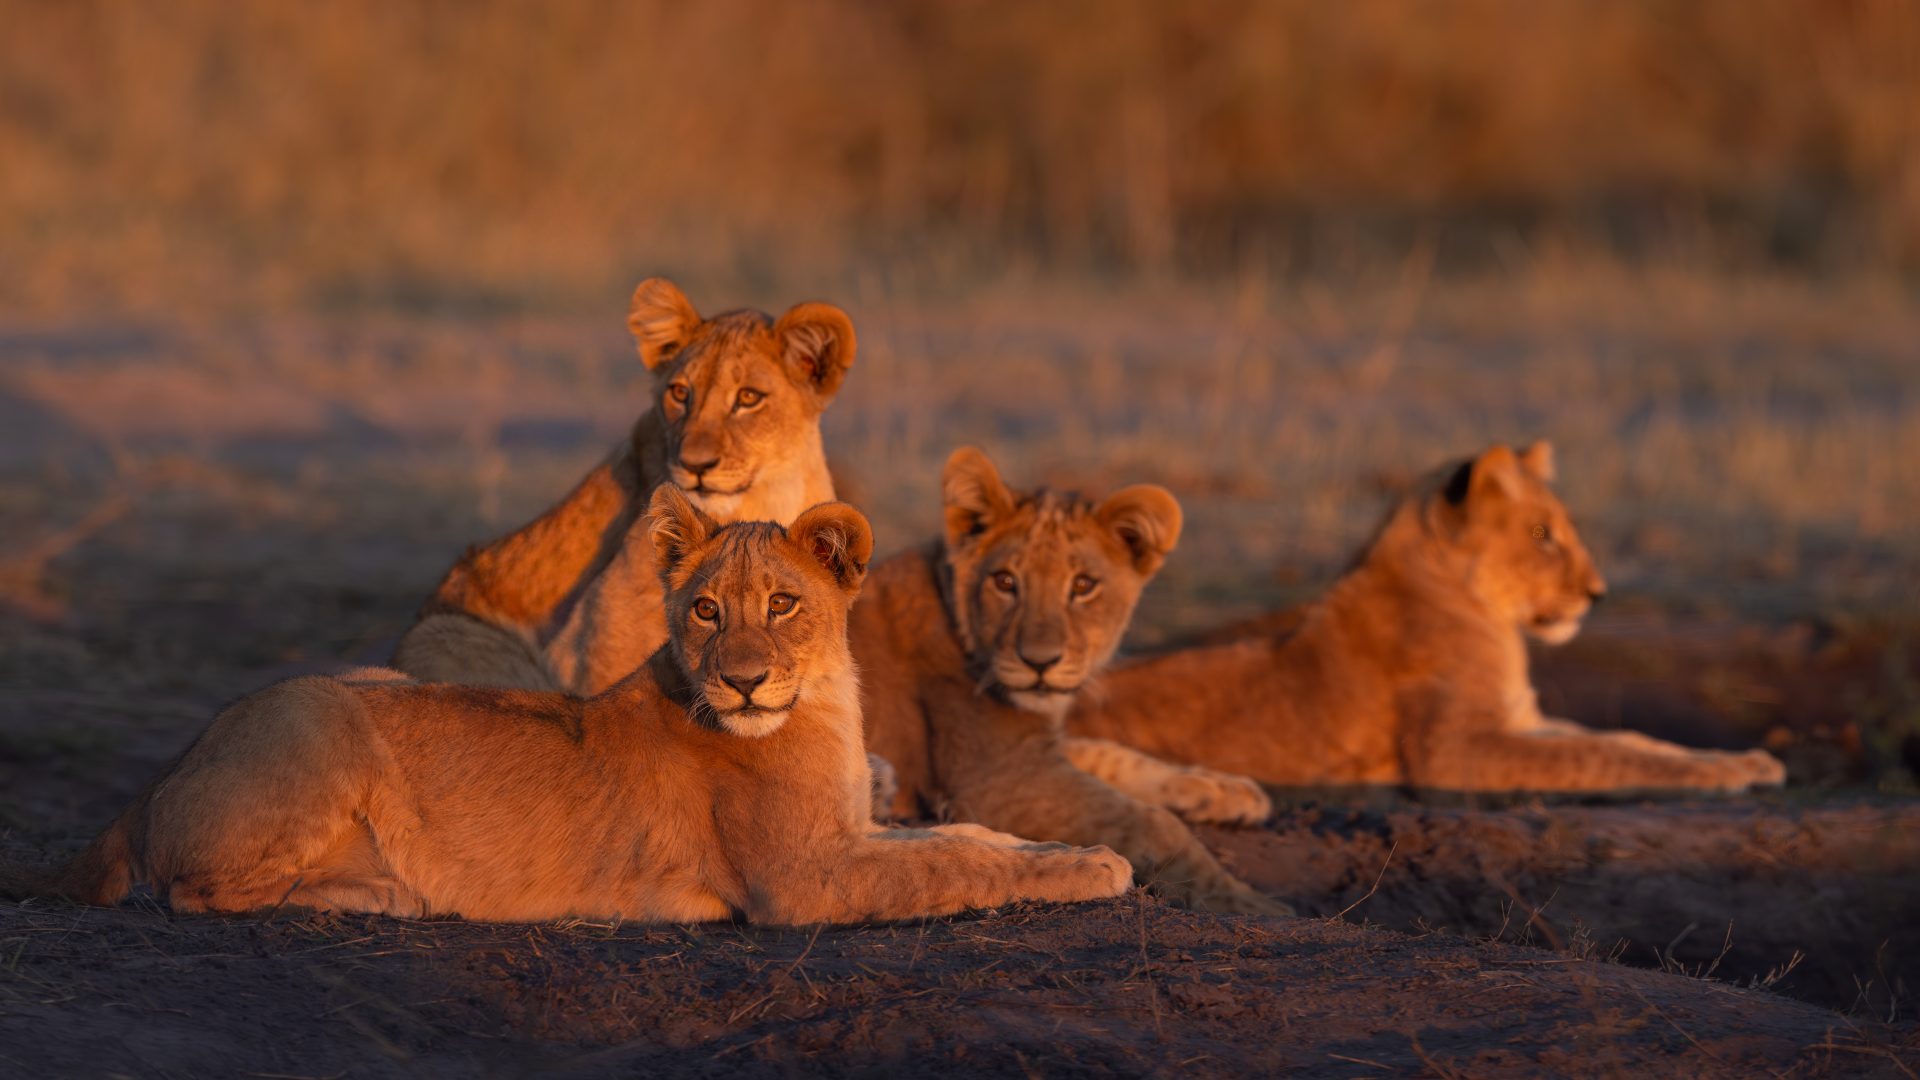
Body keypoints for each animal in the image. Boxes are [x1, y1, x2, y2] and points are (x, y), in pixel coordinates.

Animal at [44, 490, 1131, 923]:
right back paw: (381, 889)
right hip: (320, 714)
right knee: (193, 888)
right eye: (704, 609)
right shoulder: (804, 882)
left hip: (363, 681)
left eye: (783, 604)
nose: (742, 681)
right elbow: (954, 867)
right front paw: (1098, 870)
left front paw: (1071, 849)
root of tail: (155, 783)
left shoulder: (849, 833)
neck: (824, 705)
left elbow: (974, 837)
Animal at [855, 447, 1290, 915]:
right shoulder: (1000, 782)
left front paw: (1229, 790)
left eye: (1083, 585)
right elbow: (1152, 822)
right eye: (1005, 581)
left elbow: (1114, 755)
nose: (1039, 662)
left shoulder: (1037, 749)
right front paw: (1249, 903)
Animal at [1066, 442, 1789, 797]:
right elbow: (1603, 755)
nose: (1598, 593)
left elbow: (1630, 739)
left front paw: (1749, 761)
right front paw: (1727, 776)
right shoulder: (1453, 751)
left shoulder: (1520, 718)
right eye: (1542, 534)